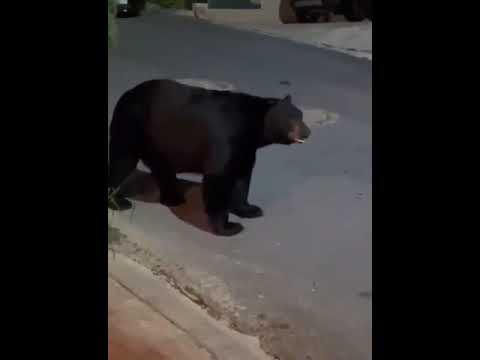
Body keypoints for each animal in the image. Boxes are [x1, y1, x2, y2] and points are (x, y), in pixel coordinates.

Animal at [108, 79, 312, 236]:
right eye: (292, 117)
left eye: (301, 115)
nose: (308, 132)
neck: (253, 128)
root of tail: (128, 93)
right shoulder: (226, 137)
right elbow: (219, 179)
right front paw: (229, 227)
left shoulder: (244, 149)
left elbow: (242, 176)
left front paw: (250, 209)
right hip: (132, 125)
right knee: (121, 161)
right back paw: (119, 202)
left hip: (158, 140)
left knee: (162, 167)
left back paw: (174, 198)